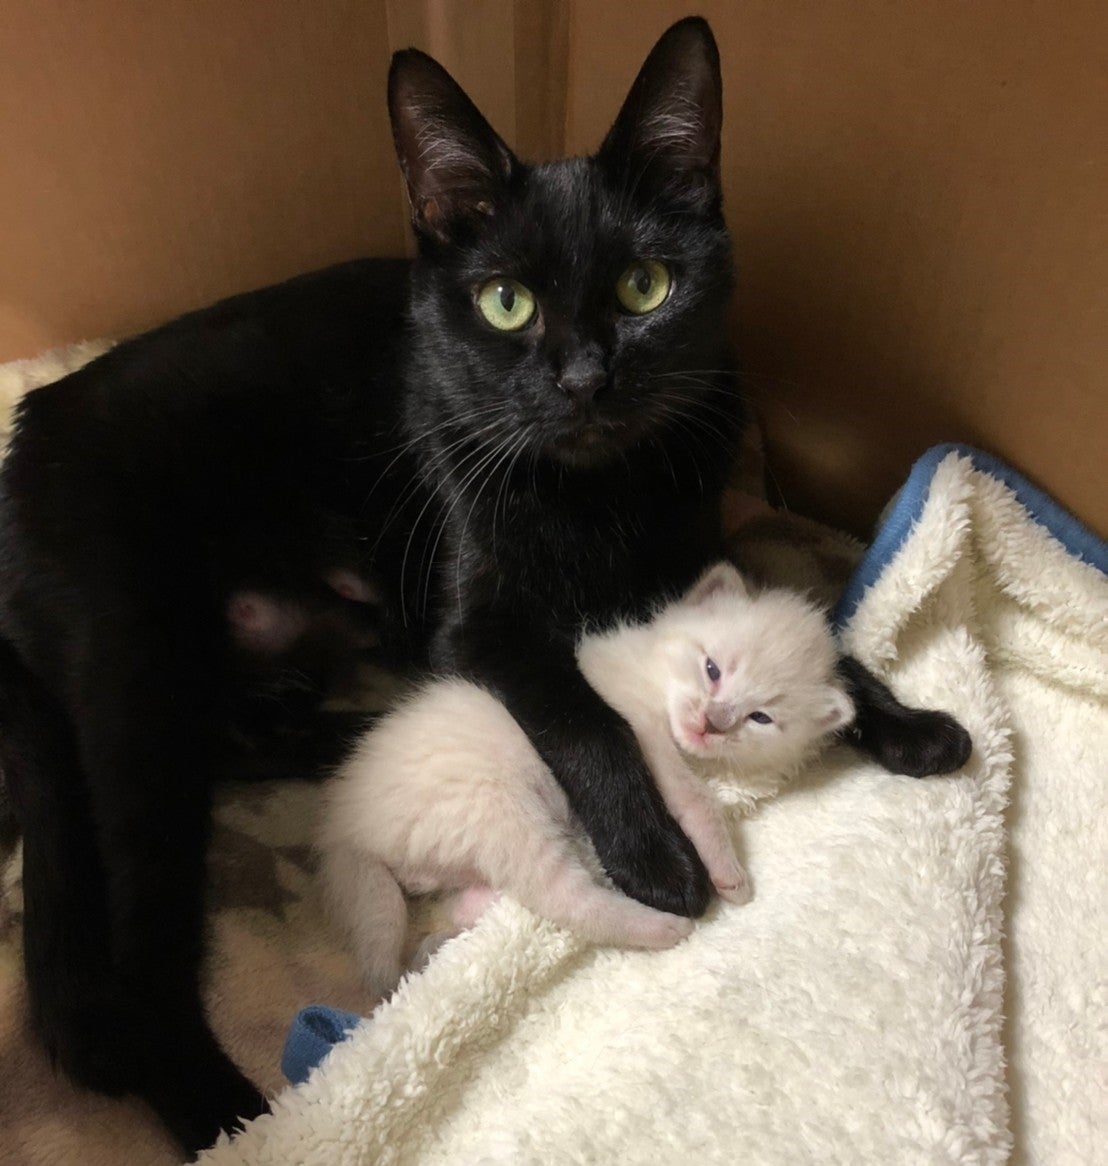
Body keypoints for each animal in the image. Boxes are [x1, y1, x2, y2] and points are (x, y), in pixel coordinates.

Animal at [318, 560, 853, 996]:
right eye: (712, 668)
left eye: (760, 717)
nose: (711, 723)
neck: (652, 667)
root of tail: (346, 827)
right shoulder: (640, 729)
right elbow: (693, 798)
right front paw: (729, 872)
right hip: (498, 810)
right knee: (566, 899)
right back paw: (661, 928)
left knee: (469, 900)